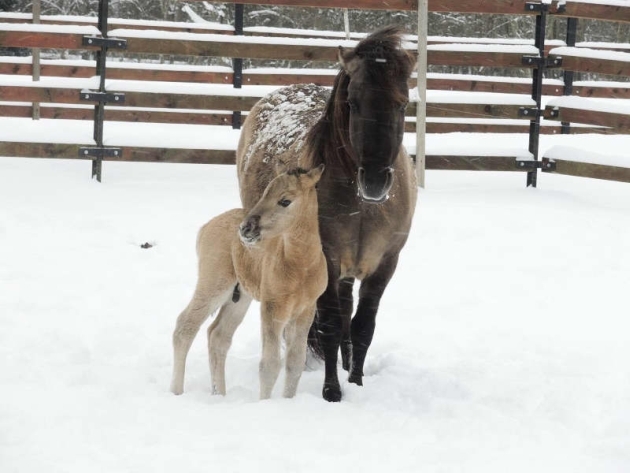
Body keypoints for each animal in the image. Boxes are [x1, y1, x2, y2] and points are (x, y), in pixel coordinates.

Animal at [237, 25, 420, 400]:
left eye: (403, 103)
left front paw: (356, 381)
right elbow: (332, 326)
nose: (375, 182)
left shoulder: (385, 263)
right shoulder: (327, 259)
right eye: (352, 102)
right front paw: (333, 391)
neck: (362, 205)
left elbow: (363, 325)